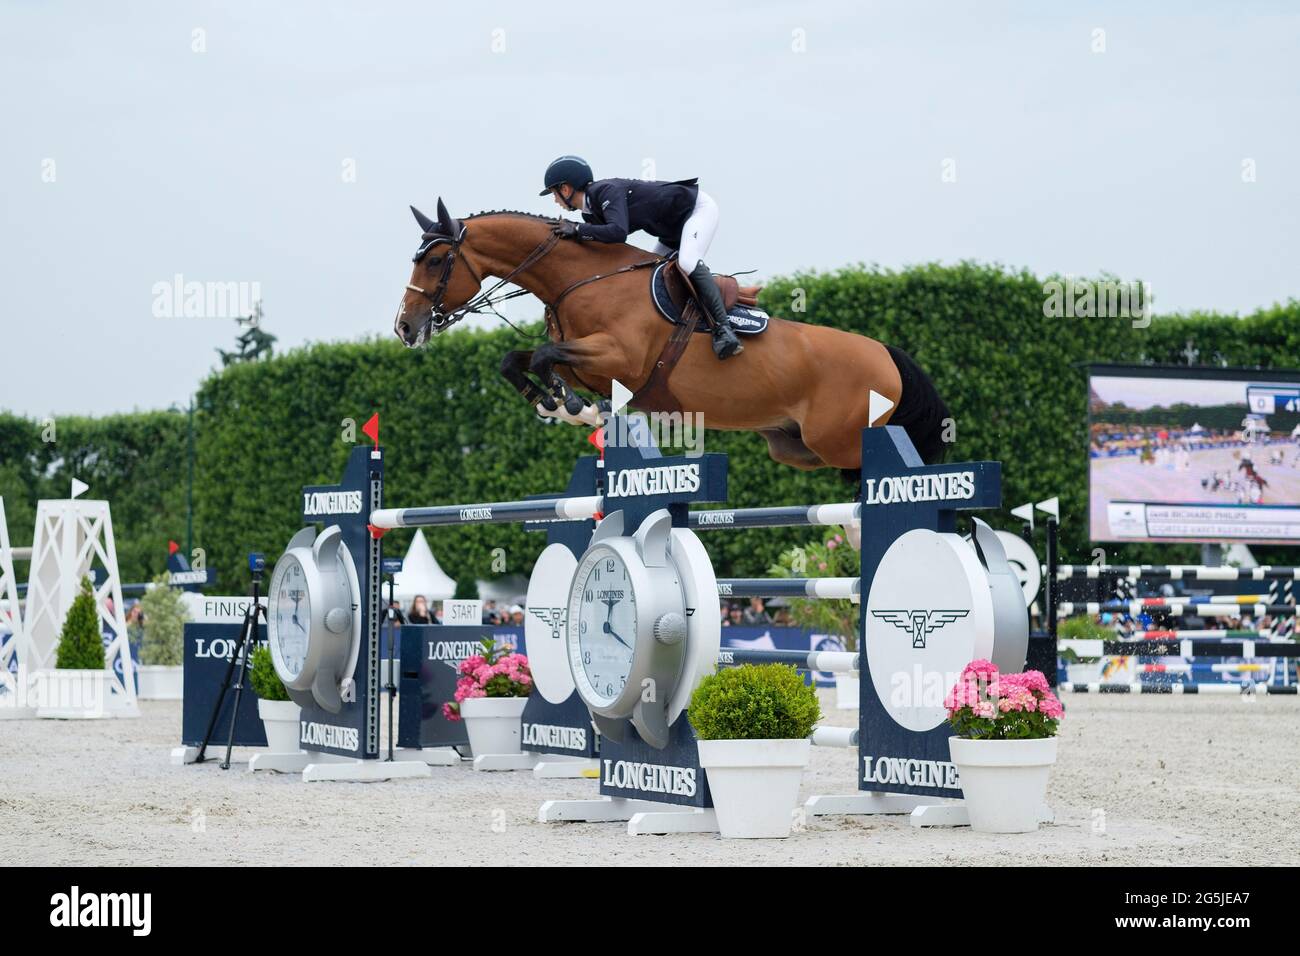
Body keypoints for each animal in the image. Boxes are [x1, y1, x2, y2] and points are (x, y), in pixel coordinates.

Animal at [390, 199, 941, 476]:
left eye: (435, 261)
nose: (405, 327)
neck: (579, 279)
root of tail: (886, 353)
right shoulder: (587, 360)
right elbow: (517, 359)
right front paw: (558, 404)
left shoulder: (620, 358)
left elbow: (545, 355)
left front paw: (573, 407)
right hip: (795, 446)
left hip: (841, 444)